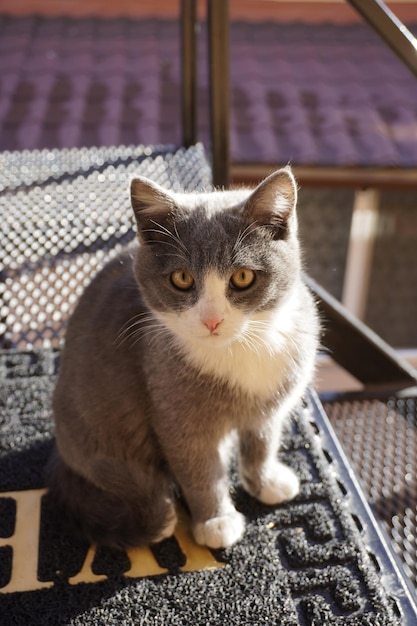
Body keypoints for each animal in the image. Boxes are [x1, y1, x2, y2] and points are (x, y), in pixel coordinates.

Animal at [48, 168, 316, 548]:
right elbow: (200, 469)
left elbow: (262, 442)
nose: (212, 319)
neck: (241, 348)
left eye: (243, 276)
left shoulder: (269, 405)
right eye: (182, 278)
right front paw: (216, 521)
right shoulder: (174, 412)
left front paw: (265, 482)